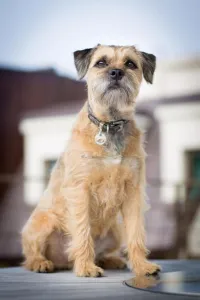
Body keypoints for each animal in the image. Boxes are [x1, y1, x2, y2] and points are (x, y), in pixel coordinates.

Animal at [21, 44, 161, 276]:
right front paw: (86, 267)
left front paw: (142, 266)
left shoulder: (133, 191)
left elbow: (136, 233)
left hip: (115, 230)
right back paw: (42, 263)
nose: (116, 72)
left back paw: (111, 260)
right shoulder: (80, 190)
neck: (109, 124)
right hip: (44, 223)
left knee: (103, 251)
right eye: (101, 63)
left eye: (130, 63)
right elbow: (82, 231)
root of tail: (63, 262)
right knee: (31, 254)